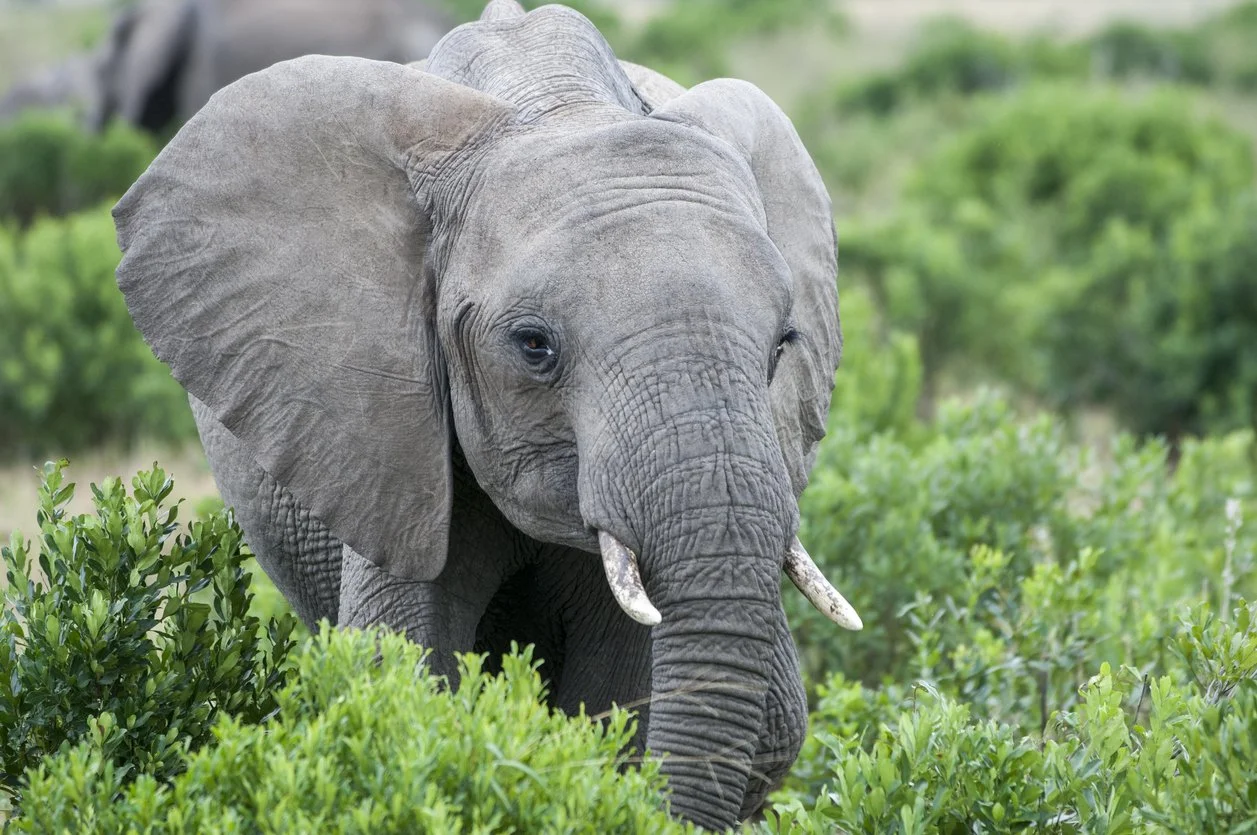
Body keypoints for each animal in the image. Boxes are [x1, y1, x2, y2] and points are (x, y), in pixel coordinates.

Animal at [113, 1, 861, 829]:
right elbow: (402, 665)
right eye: (533, 345)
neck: (552, 104)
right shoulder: (387, 430)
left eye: (783, 345)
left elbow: (615, 689)